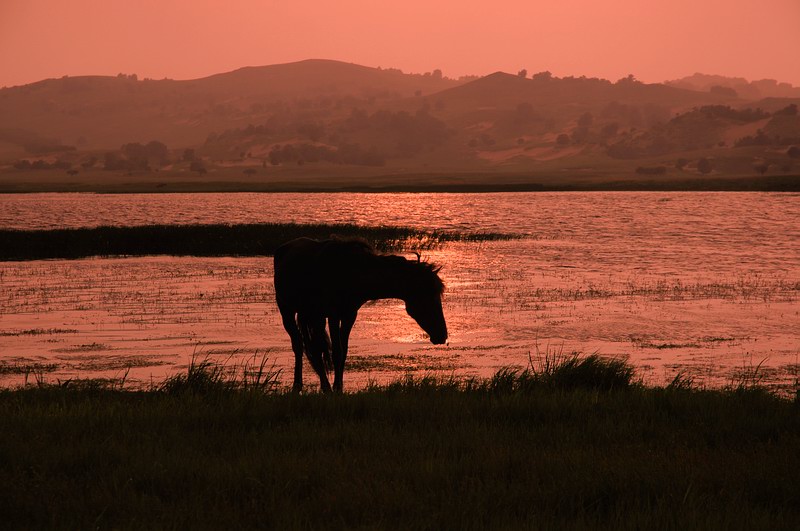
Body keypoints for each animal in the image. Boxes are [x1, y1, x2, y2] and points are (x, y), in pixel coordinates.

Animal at [274, 239, 450, 392]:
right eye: (429, 296)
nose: (442, 335)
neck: (354, 273)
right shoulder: (333, 314)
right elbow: (336, 351)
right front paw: (335, 389)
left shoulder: (349, 315)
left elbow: (343, 351)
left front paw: (338, 387)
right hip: (287, 311)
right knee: (299, 346)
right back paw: (300, 386)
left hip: (312, 315)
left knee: (314, 348)